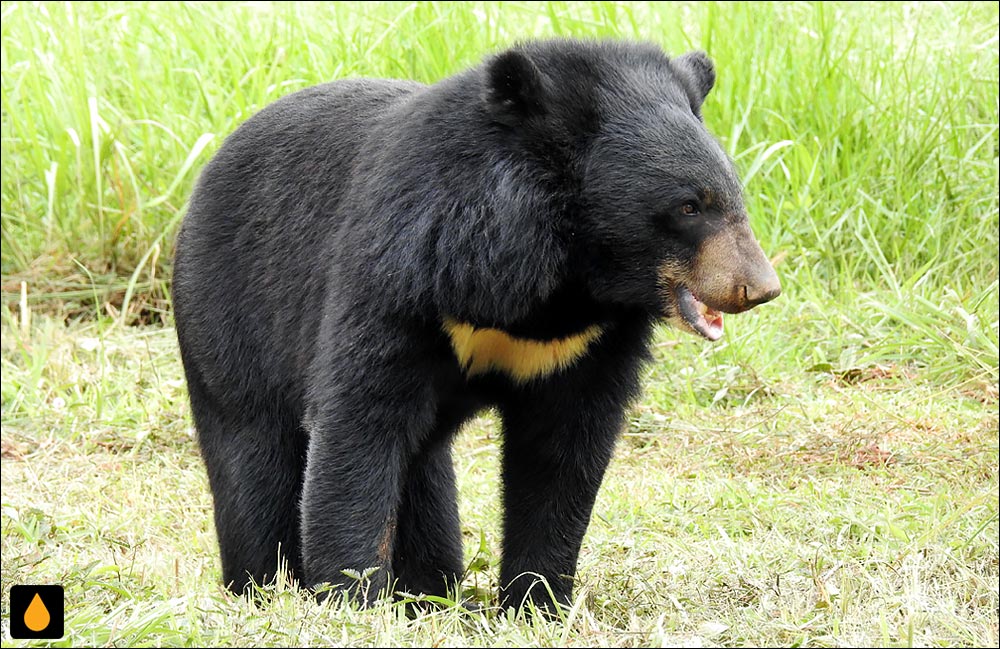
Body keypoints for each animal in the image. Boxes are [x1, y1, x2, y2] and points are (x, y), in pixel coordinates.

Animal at [170, 38, 780, 612]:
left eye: (734, 198)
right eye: (689, 206)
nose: (759, 287)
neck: (561, 279)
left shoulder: (588, 342)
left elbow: (563, 450)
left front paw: (536, 603)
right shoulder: (403, 272)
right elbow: (359, 421)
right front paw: (350, 599)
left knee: (425, 474)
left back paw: (428, 591)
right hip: (229, 316)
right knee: (254, 455)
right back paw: (262, 584)